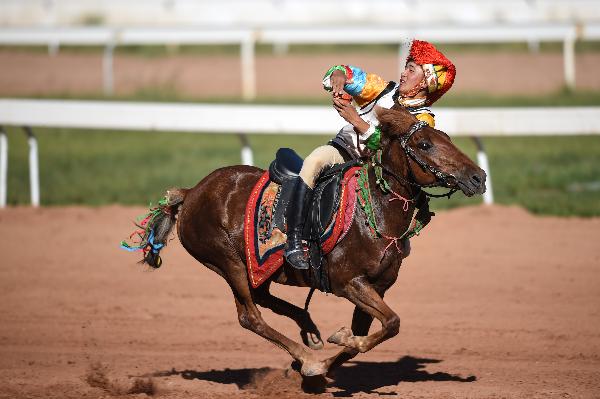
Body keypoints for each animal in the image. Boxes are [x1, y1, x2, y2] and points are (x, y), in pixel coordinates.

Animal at [127, 105, 488, 382]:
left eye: (447, 139)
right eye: (425, 144)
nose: (478, 177)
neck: (372, 213)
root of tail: (190, 193)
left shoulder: (377, 288)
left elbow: (370, 334)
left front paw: (327, 360)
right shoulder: (349, 282)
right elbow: (391, 323)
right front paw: (322, 358)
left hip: (258, 267)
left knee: (264, 298)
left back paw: (308, 331)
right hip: (228, 262)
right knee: (250, 316)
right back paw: (303, 352)